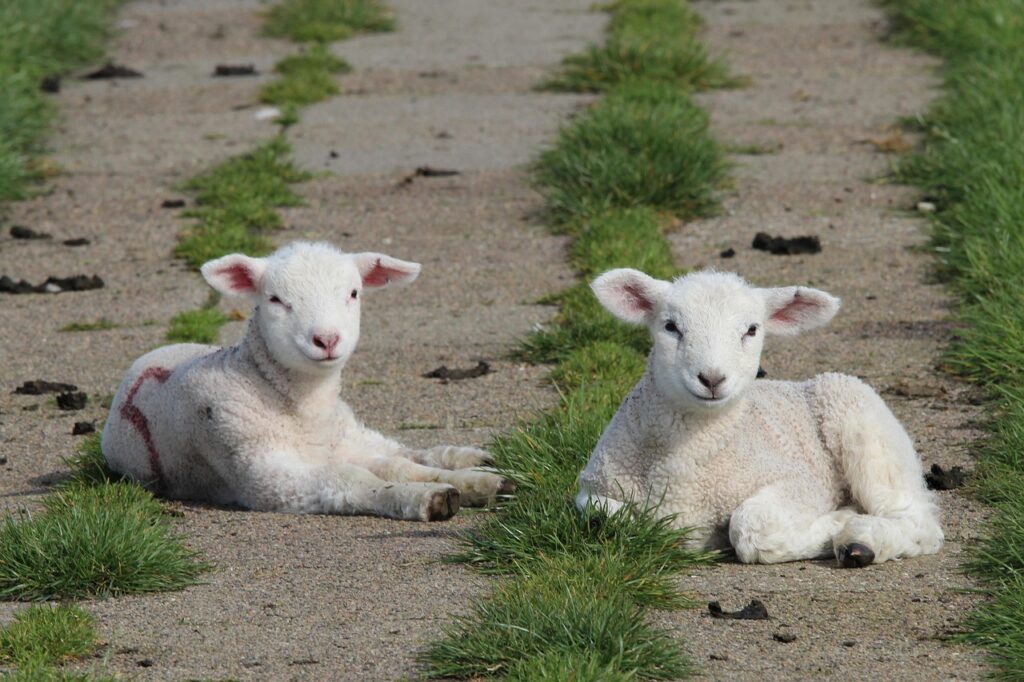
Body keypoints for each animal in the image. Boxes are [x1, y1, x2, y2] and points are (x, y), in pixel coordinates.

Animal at [102, 241, 513, 522]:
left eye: (353, 293)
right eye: (275, 299)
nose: (326, 339)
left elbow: (395, 465)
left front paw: (467, 483)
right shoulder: (261, 471)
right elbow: (349, 479)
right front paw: (425, 498)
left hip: (347, 428)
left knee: (402, 452)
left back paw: (477, 466)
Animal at [575, 268, 943, 567]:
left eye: (751, 330)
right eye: (671, 326)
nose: (712, 378)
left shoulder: (801, 483)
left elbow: (750, 528)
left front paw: (839, 521)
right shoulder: (593, 488)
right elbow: (604, 517)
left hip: (860, 422)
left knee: (917, 521)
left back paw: (861, 541)